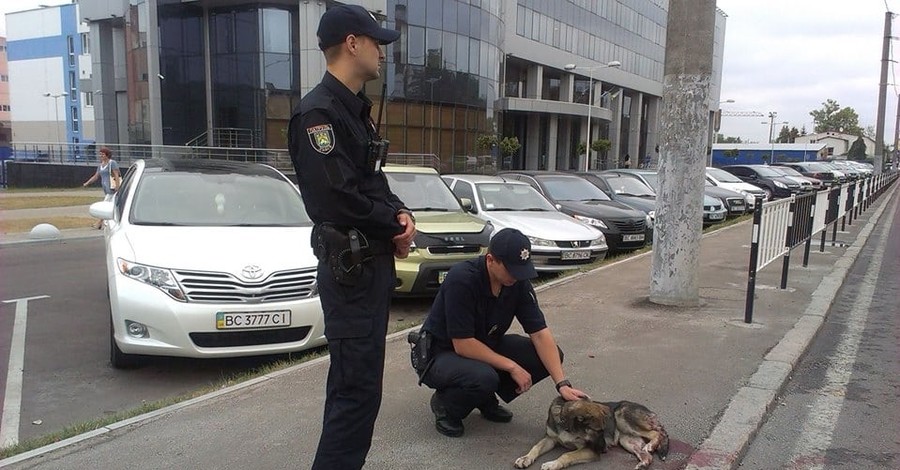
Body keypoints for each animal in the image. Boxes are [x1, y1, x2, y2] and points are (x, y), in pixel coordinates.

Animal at [512, 396, 668, 470]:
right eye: (597, 431)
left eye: (602, 431)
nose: (604, 450)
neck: (567, 427)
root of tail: (650, 411)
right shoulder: (550, 438)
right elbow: (536, 447)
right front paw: (525, 458)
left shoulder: (589, 450)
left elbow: (567, 455)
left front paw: (552, 464)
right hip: (627, 440)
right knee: (648, 456)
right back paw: (643, 464)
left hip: (622, 415)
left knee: (657, 433)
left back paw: (651, 445)